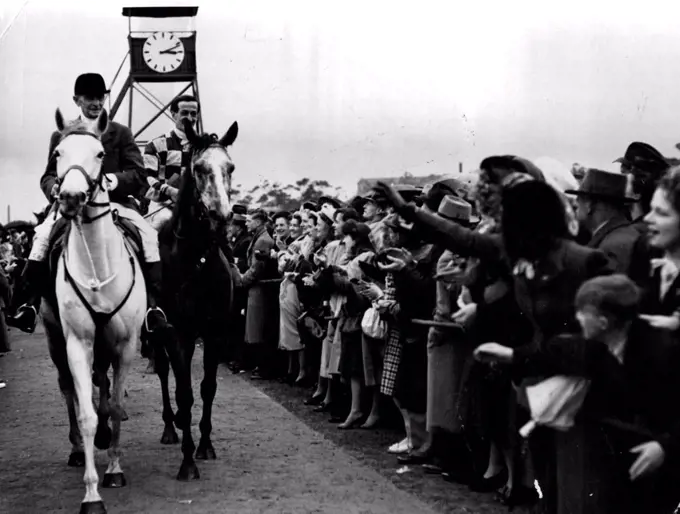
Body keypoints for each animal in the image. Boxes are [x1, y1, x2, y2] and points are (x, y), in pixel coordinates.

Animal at [41, 106, 146, 510]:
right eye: (58, 153)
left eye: (101, 154)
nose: (70, 197)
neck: (99, 266)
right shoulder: (77, 342)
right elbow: (85, 412)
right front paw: (91, 494)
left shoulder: (126, 344)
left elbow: (113, 406)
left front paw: (115, 469)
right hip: (56, 340)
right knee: (69, 390)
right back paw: (76, 450)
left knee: (103, 388)